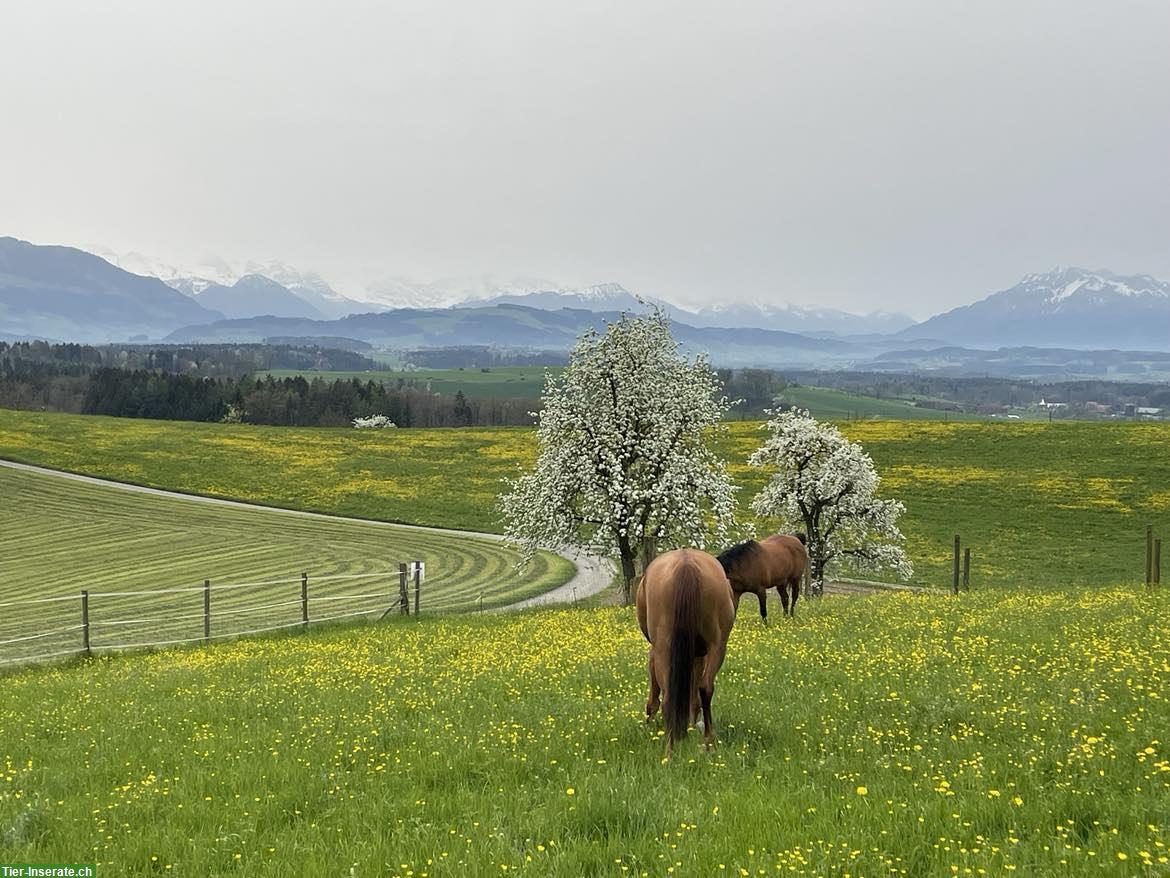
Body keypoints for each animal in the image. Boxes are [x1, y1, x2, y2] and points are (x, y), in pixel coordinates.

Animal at [641, 550, 730, 758]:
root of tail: (686, 564)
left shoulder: (653, 655)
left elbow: (654, 696)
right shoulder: (697, 656)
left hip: (664, 650)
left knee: (667, 699)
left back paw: (671, 751)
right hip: (717, 647)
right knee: (704, 688)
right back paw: (705, 743)